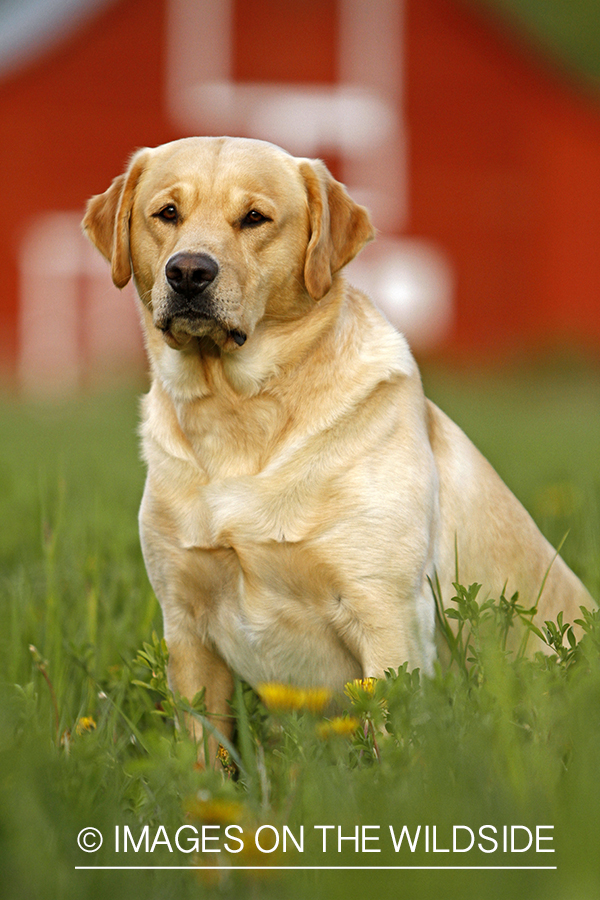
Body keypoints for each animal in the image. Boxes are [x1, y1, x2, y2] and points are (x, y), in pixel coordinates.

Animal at [82, 135, 592, 752]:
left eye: (255, 218)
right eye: (167, 213)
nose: (188, 272)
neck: (238, 414)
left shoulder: (386, 614)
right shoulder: (185, 624)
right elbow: (202, 753)